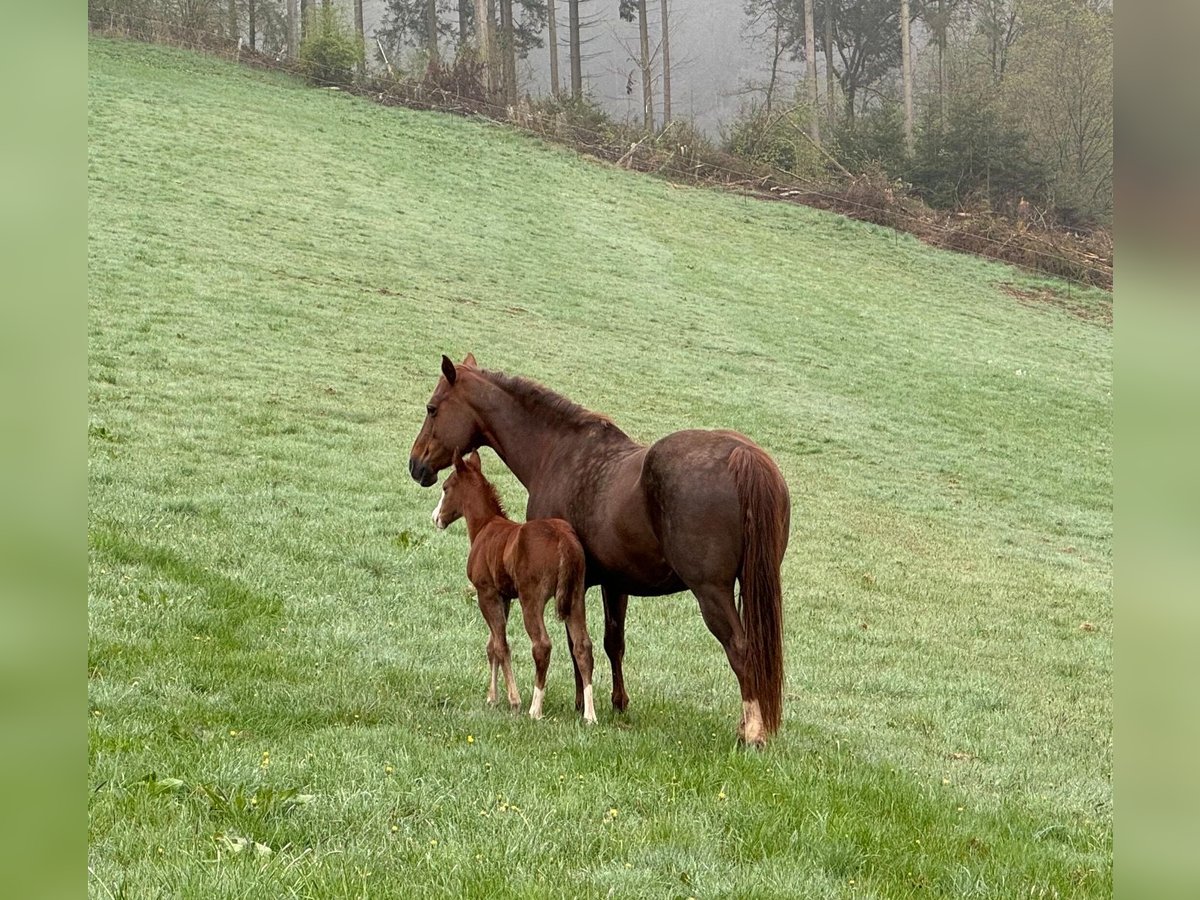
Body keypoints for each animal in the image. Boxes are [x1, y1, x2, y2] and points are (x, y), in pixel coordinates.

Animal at [432, 449, 598, 724]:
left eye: (445, 487)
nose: (436, 518)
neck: (485, 526)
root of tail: (564, 540)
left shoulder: (486, 592)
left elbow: (501, 645)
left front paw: (513, 699)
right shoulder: (505, 597)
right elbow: (492, 645)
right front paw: (492, 697)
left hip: (531, 598)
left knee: (542, 645)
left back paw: (535, 709)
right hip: (576, 596)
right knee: (583, 646)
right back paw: (589, 715)